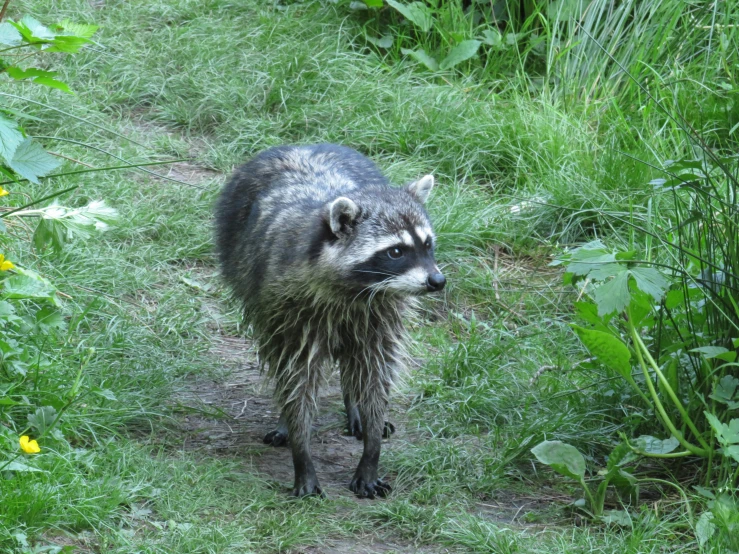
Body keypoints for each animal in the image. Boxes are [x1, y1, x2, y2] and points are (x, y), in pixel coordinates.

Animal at [214, 142, 446, 496]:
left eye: (428, 244)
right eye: (395, 251)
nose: (437, 281)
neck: (357, 291)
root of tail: (300, 144)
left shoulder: (381, 316)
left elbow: (376, 374)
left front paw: (371, 449)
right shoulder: (289, 310)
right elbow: (297, 377)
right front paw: (302, 451)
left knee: (356, 365)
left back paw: (354, 407)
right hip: (245, 271)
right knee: (281, 364)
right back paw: (286, 418)